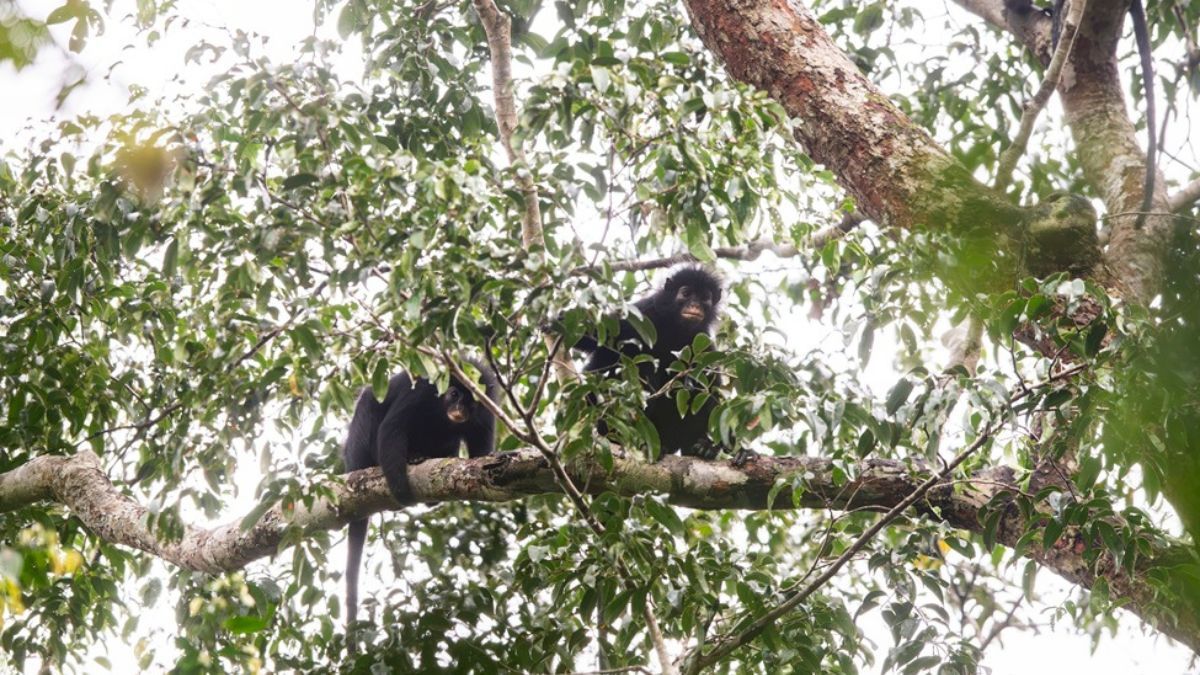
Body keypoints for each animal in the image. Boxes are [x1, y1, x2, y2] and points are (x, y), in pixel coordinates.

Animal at [341, 360, 499, 628]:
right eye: (454, 394)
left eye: (471, 401)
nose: (460, 409)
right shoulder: (421, 392)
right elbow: (392, 427)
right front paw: (401, 491)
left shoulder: (486, 408)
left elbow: (480, 456)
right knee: (370, 401)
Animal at [570, 266, 726, 459]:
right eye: (686, 293)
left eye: (705, 298)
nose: (695, 305)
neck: (675, 327)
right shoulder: (644, 313)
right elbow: (597, 335)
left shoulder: (702, 340)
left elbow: (711, 386)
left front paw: (716, 446)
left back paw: (699, 448)